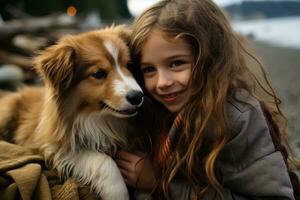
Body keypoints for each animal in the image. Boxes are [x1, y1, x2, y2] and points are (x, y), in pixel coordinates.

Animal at [0, 25, 144, 199]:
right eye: (98, 73)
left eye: (129, 65)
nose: (137, 96)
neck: (97, 118)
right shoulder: (56, 146)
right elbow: (103, 161)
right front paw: (118, 193)